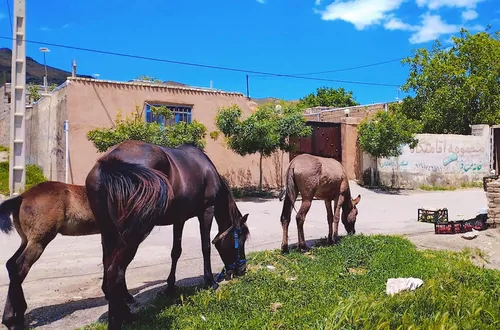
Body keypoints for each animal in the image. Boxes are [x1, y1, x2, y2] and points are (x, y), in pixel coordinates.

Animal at [0, 180, 137, 330]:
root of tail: (22, 197)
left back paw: (15, 317)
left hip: (25, 240)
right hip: (39, 241)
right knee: (20, 267)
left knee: (11, 265)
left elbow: (107, 260)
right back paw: (13, 321)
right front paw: (125, 296)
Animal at [86, 140, 252, 330]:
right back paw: (121, 318)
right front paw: (210, 281)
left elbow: (175, 252)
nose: (242, 269)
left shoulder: (179, 219)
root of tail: (109, 162)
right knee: (116, 271)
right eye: (241, 238)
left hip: (109, 232)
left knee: (109, 268)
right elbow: (205, 247)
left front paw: (170, 287)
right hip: (134, 234)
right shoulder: (207, 211)